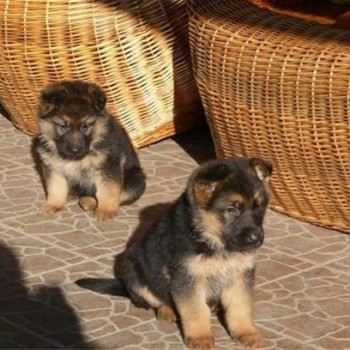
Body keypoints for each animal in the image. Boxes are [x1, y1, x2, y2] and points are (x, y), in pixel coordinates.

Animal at [35, 80, 145, 220]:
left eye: (85, 126)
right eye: (63, 125)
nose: (75, 150)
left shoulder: (108, 168)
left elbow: (108, 191)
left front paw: (106, 210)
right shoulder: (53, 167)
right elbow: (56, 188)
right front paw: (52, 204)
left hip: (135, 179)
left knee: (121, 195)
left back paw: (89, 201)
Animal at [76, 158, 274, 348]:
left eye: (258, 206)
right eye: (231, 209)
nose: (257, 238)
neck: (212, 239)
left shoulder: (240, 275)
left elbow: (240, 307)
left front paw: (246, 333)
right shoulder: (188, 278)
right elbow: (196, 311)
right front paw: (200, 338)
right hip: (133, 268)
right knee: (155, 299)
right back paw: (168, 311)